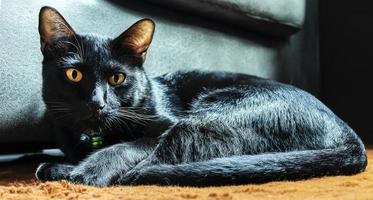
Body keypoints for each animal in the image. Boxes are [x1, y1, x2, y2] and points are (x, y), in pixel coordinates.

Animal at [35, 7, 366, 187]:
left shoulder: (163, 127)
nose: (97, 102)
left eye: (117, 78)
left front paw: (86, 172)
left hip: (203, 119)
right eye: (74, 74)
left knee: (150, 167)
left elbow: (124, 148)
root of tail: (349, 135)